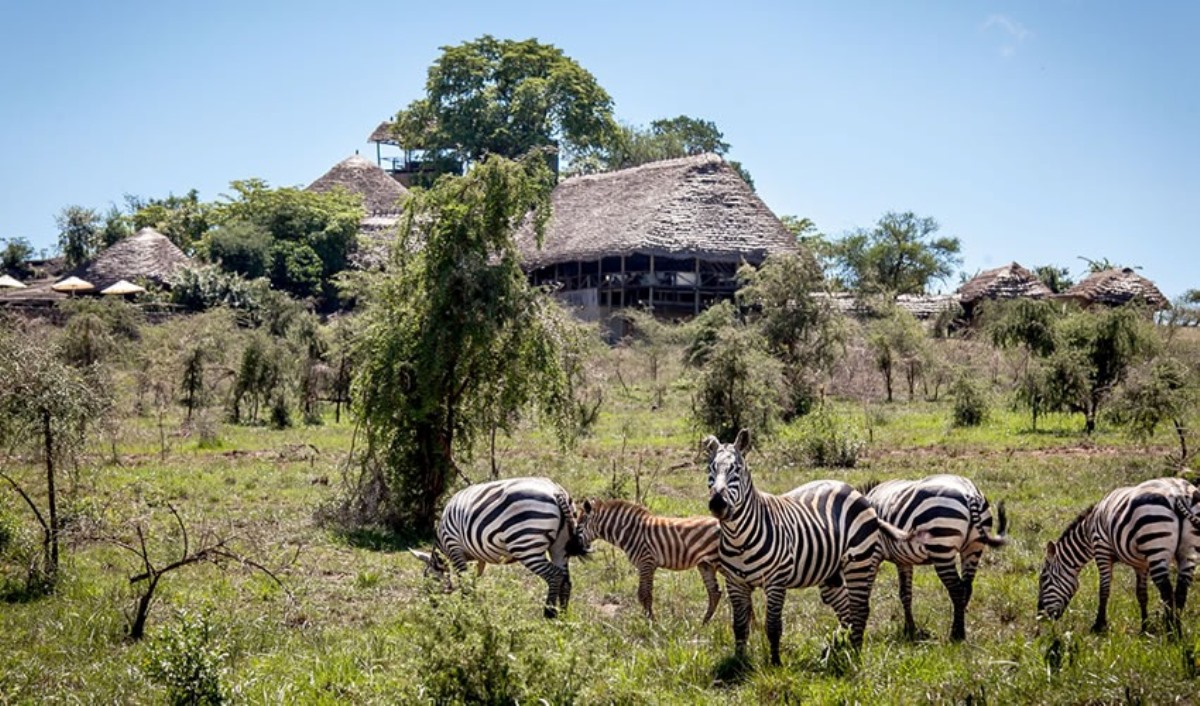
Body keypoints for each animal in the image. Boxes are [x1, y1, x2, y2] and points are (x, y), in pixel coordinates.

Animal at [410, 475, 588, 619]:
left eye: (428, 581)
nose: (435, 610)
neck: (442, 543)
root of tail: (555, 491)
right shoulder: (477, 555)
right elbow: (473, 579)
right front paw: (474, 607)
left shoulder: (454, 547)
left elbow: (465, 581)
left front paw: (465, 610)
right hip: (560, 545)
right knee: (566, 579)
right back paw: (562, 615)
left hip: (526, 544)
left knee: (555, 575)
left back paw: (549, 614)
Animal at [578, 497, 720, 624]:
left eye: (578, 527)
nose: (575, 549)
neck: (631, 532)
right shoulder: (649, 565)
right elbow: (647, 593)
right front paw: (648, 619)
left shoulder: (646, 562)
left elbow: (643, 594)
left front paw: (651, 622)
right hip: (705, 564)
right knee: (715, 592)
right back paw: (704, 624)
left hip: (719, 561)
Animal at [700, 427, 907, 662]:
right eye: (710, 469)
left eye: (736, 469)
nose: (717, 504)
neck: (738, 538)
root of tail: (852, 490)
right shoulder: (735, 583)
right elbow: (740, 627)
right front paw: (740, 662)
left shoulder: (776, 581)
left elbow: (773, 627)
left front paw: (775, 664)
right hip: (832, 574)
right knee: (846, 610)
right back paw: (841, 650)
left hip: (859, 563)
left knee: (859, 609)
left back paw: (854, 655)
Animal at [864, 470, 1003, 643]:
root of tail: (969, 493)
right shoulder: (903, 559)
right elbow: (905, 594)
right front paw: (909, 630)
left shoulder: (874, 554)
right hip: (973, 548)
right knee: (967, 588)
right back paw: (959, 628)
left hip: (941, 547)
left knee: (957, 589)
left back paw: (956, 635)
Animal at [1036, 475, 1200, 633]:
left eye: (1044, 579)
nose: (1040, 617)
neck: (1088, 531)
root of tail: (1178, 493)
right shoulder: (1141, 564)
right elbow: (1142, 595)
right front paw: (1144, 628)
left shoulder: (1101, 550)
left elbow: (1104, 589)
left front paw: (1099, 626)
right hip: (1188, 553)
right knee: (1181, 592)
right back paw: (1177, 631)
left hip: (1156, 544)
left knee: (1166, 592)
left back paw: (1170, 632)